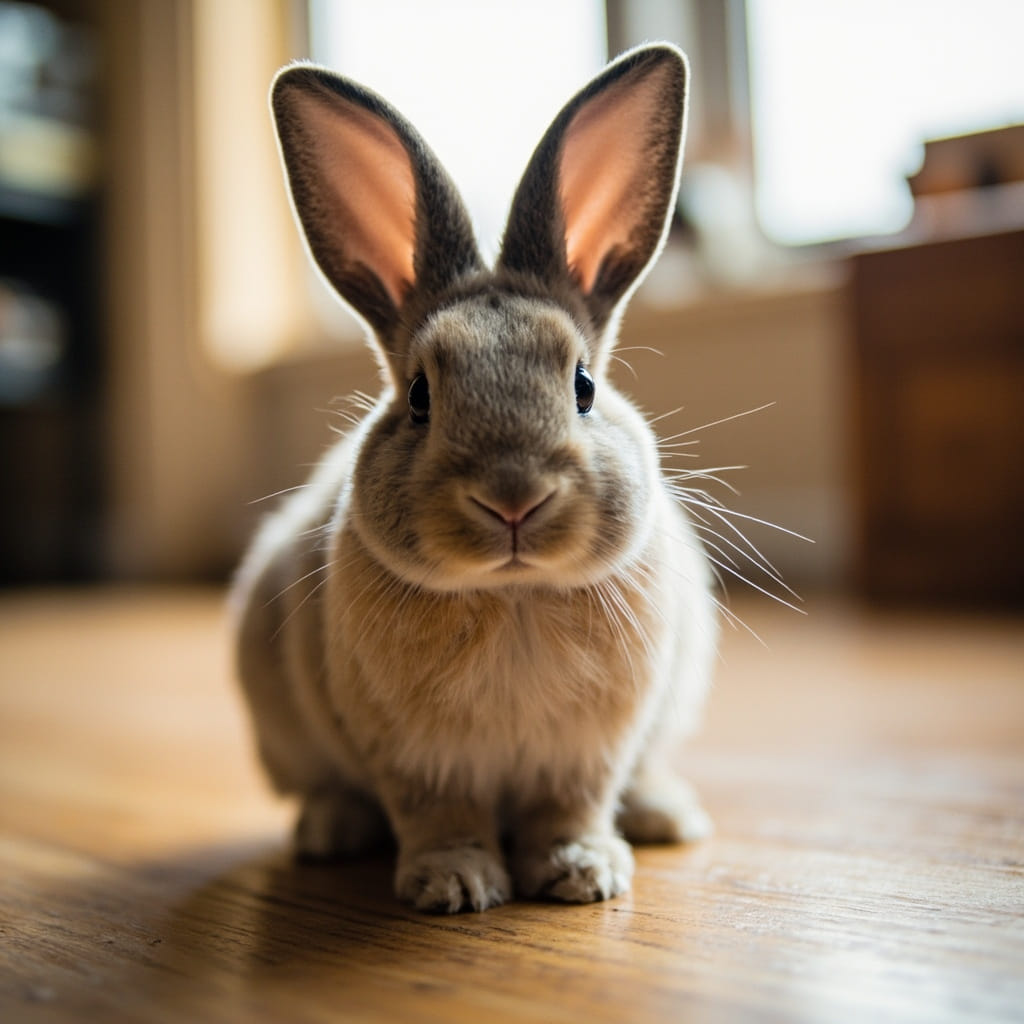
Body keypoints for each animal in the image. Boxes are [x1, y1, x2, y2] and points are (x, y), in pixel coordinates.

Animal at [232, 42, 717, 914]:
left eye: (583, 386)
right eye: (420, 397)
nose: (513, 499)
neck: (512, 593)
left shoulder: (587, 754)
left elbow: (572, 808)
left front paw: (583, 875)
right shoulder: (417, 760)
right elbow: (440, 816)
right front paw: (453, 887)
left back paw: (667, 816)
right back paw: (328, 832)